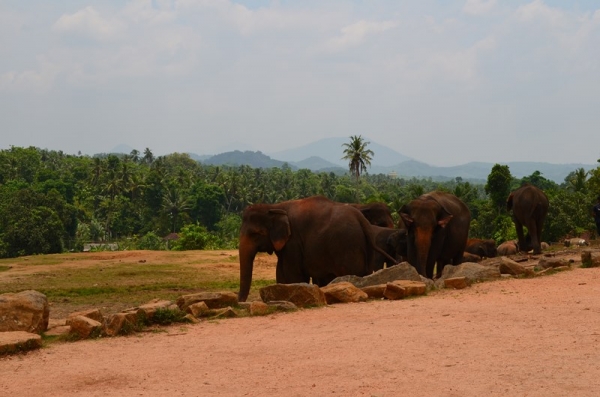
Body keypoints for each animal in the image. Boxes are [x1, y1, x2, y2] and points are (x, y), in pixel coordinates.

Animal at [239, 195, 398, 300]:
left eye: (255, 234)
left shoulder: (293, 241)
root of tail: (361, 219)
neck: (275, 206)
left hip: (347, 246)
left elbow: (294, 275)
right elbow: (281, 273)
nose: (240, 303)